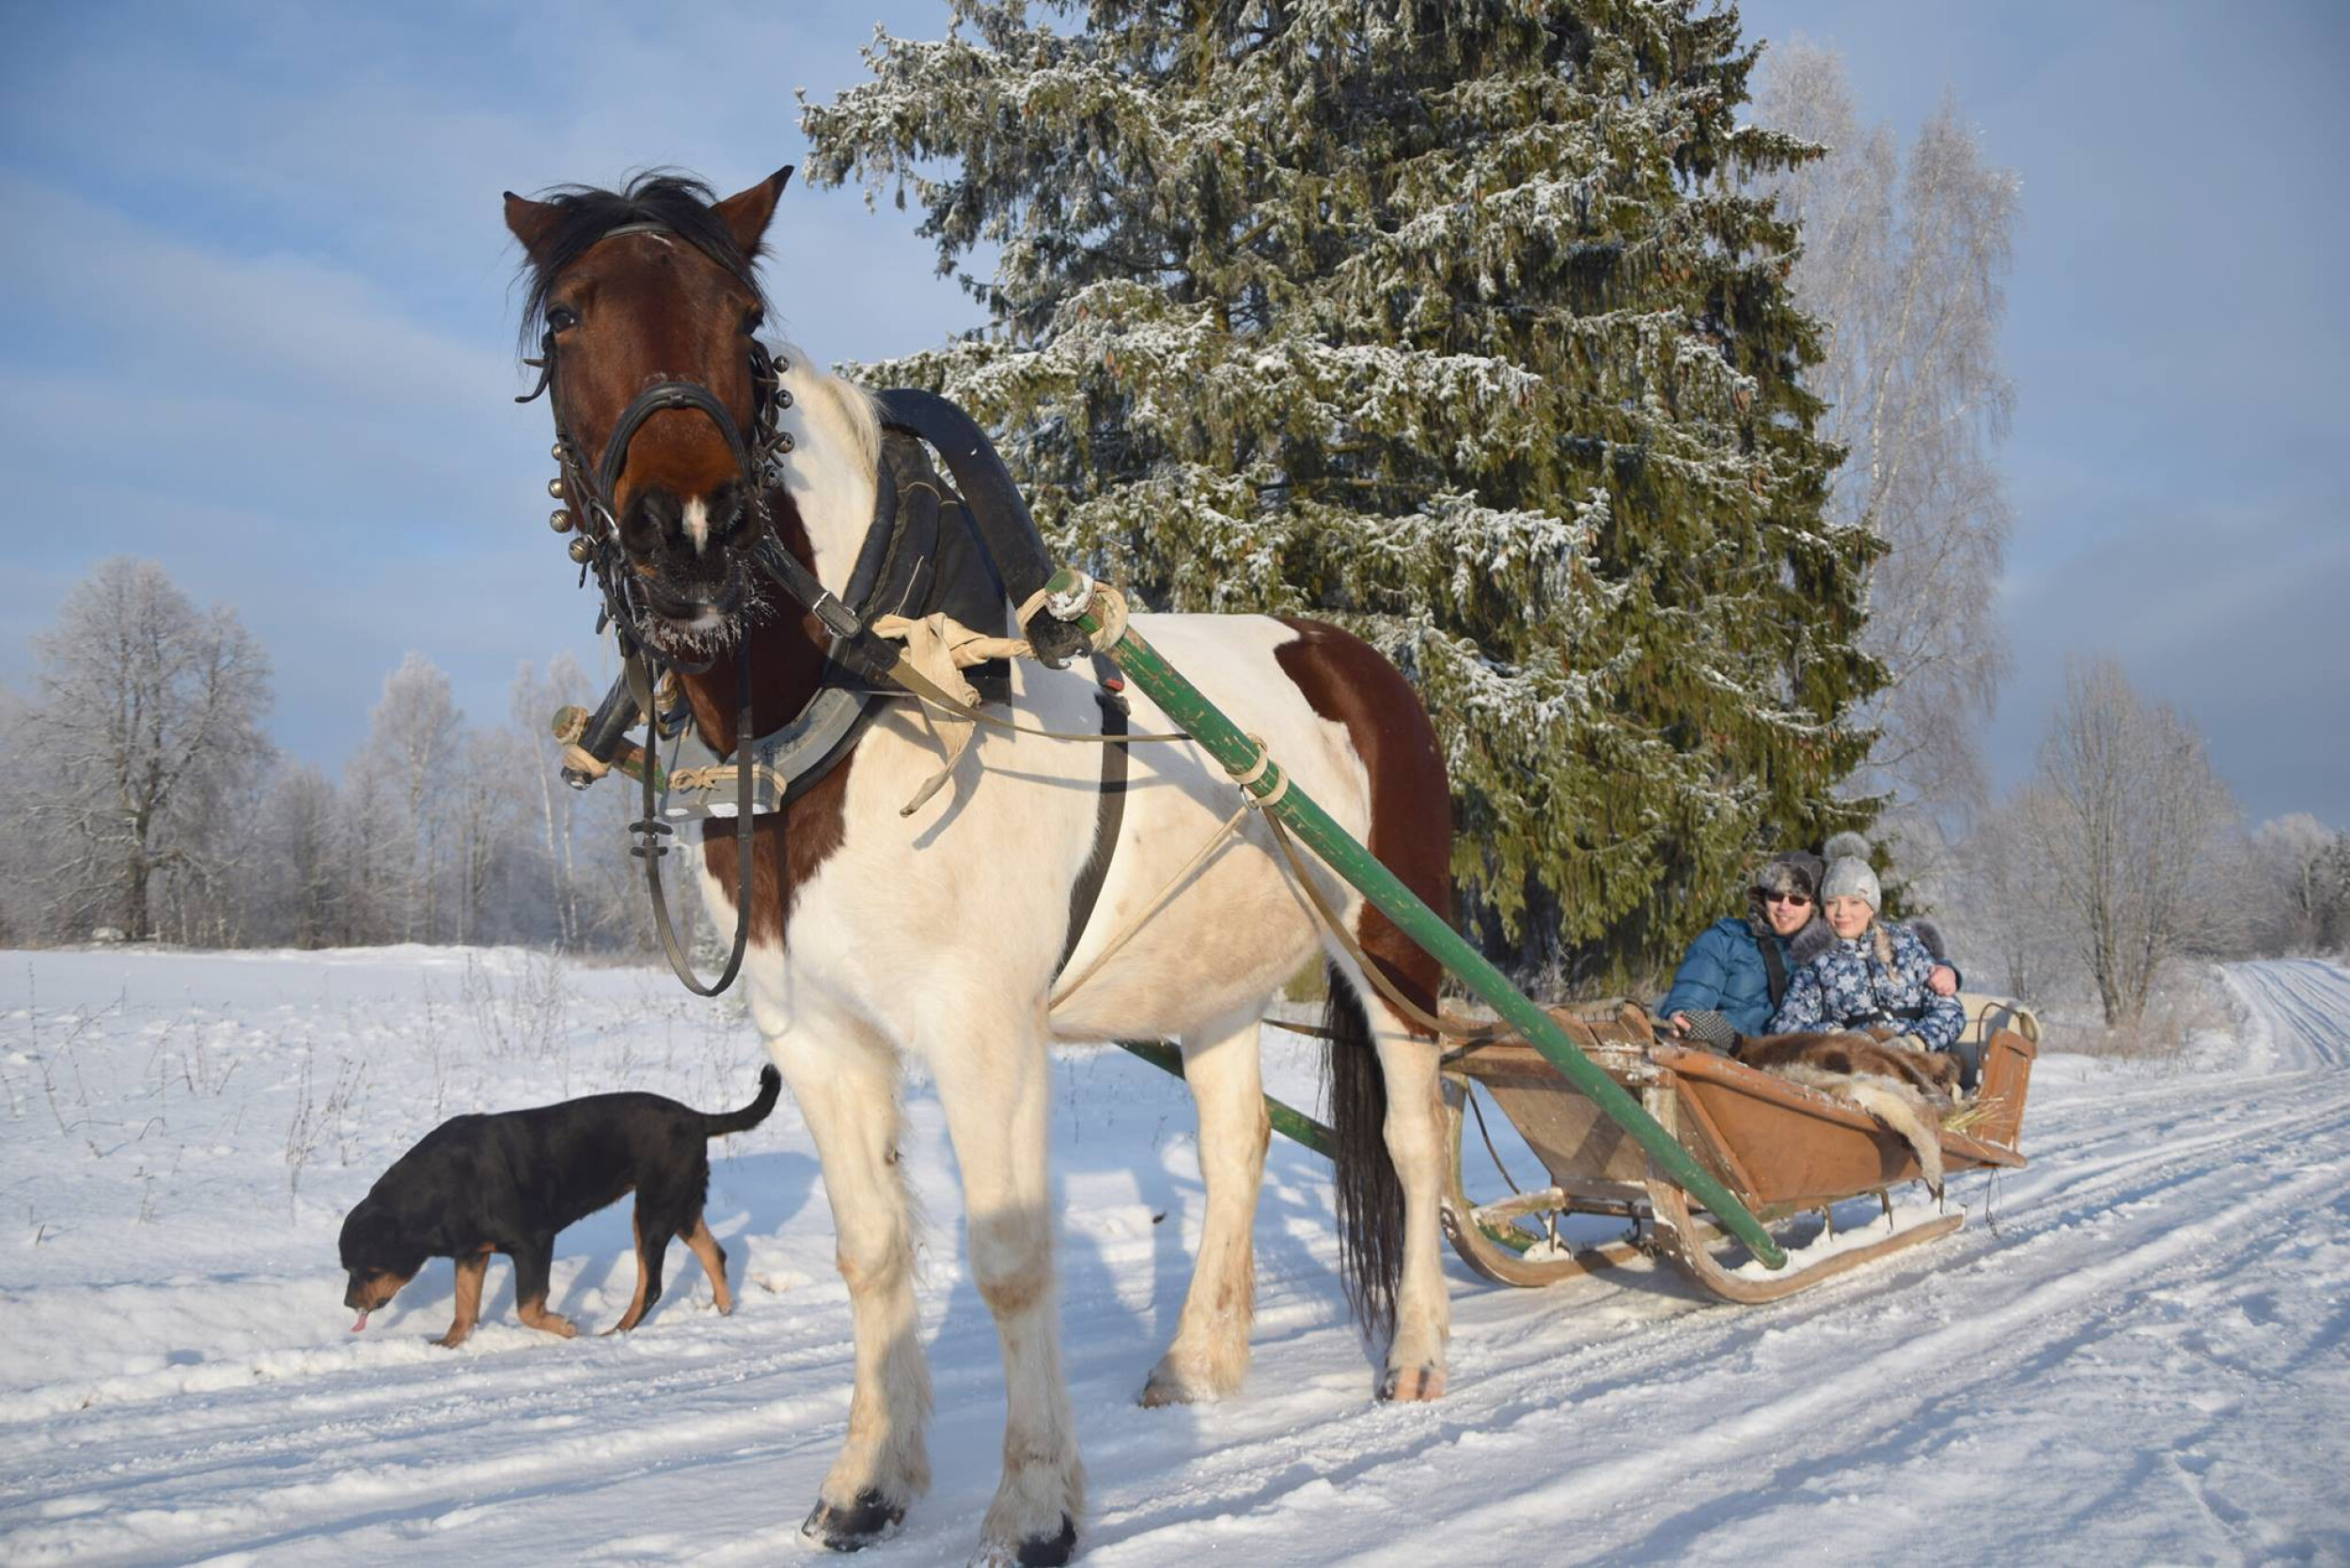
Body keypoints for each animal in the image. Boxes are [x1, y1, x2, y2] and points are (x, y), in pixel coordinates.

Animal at [340, 1067, 780, 1354]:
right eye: (349, 1269)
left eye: (367, 1270)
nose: (347, 1304)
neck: (440, 1191)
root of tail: (695, 1119)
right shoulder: (471, 1252)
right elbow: (464, 1305)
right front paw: (449, 1343)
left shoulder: (533, 1242)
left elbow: (527, 1307)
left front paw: (566, 1328)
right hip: (680, 1204)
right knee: (714, 1253)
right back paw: (722, 1310)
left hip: (653, 1209)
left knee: (651, 1284)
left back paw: (617, 1330)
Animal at [508, 165, 1457, 1560]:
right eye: (569, 318)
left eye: (742, 317)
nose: (687, 533)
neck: (866, 692)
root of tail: (1351, 658)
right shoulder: (817, 1036)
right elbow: (875, 1253)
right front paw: (867, 1484)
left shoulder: (981, 1029)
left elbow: (1010, 1260)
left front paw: (1036, 1507)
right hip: (1215, 985)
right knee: (1235, 1145)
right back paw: (1197, 1362)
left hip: (1393, 953)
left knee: (1412, 1139)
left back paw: (1420, 1357)